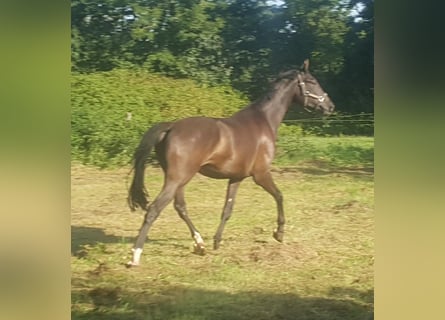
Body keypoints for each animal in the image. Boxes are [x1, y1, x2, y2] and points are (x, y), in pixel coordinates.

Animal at [125, 58, 332, 266]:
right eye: (312, 81)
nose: (330, 106)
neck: (264, 121)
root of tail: (171, 126)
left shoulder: (236, 178)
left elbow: (227, 209)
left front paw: (217, 241)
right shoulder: (261, 174)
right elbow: (279, 196)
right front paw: (279, 233)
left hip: (180, 179)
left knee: (180, 207)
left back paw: (200, 245)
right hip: (177, 178)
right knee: (154, 209)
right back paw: (136, 255)